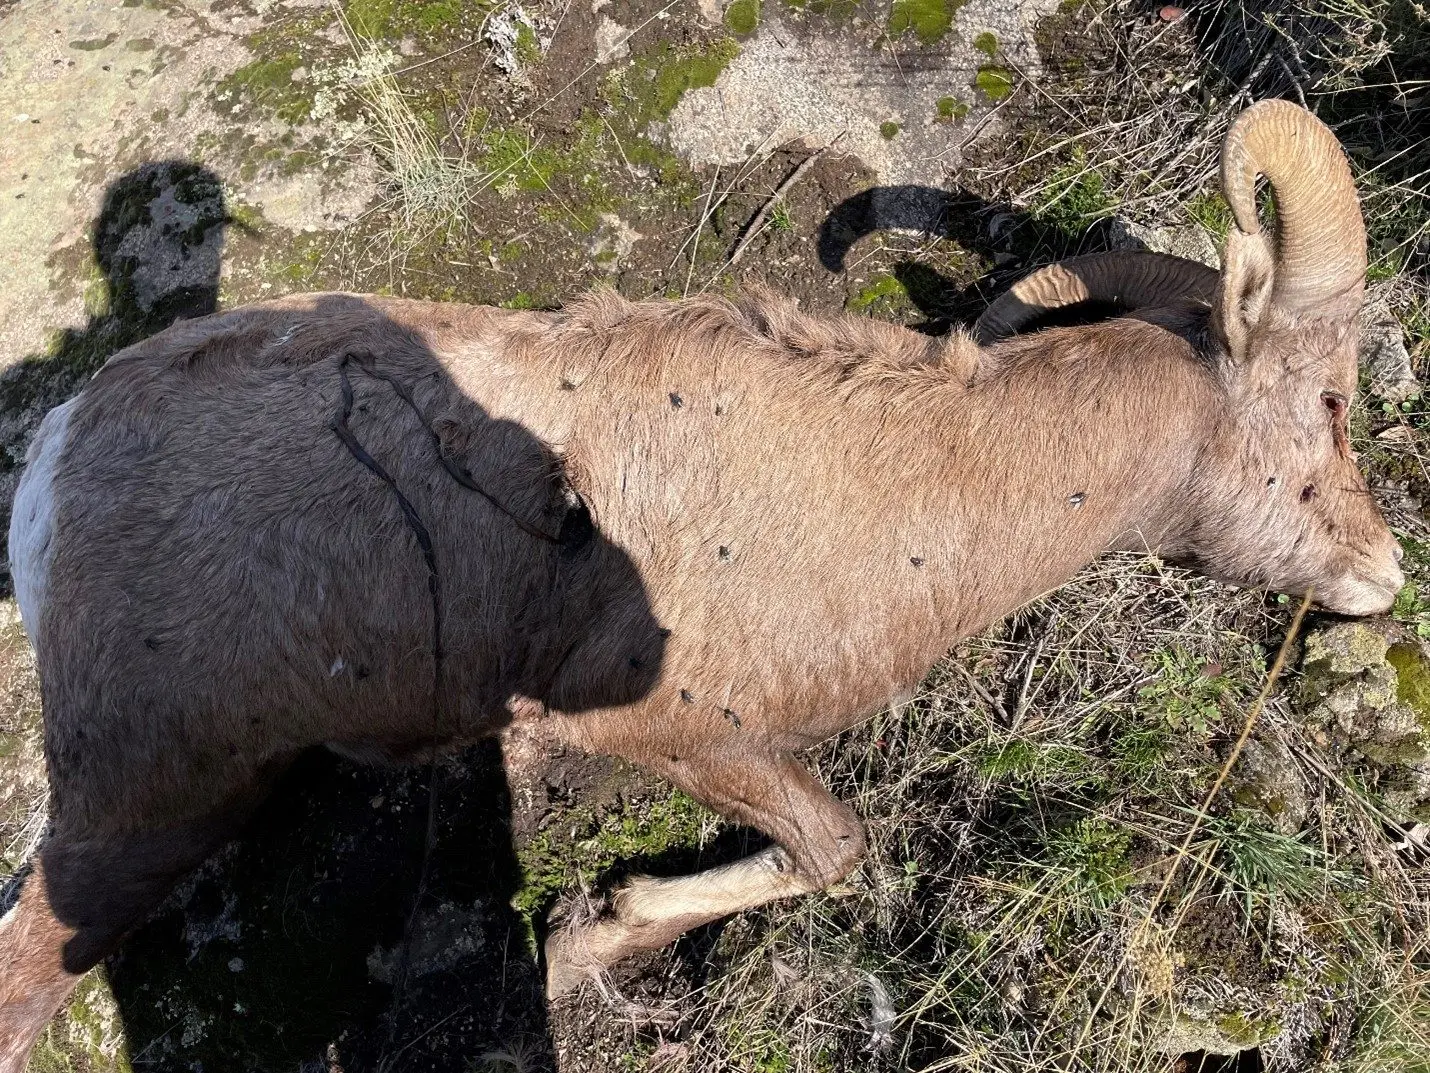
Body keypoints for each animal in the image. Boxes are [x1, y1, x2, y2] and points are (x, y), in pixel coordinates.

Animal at [0, 100, 1404, 1068]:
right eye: (1331, 402)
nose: (1381, 573)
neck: (931, 485)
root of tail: (58, 460)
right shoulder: (674, 729)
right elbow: (830, 847)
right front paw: (585, 943)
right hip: (139, 813)